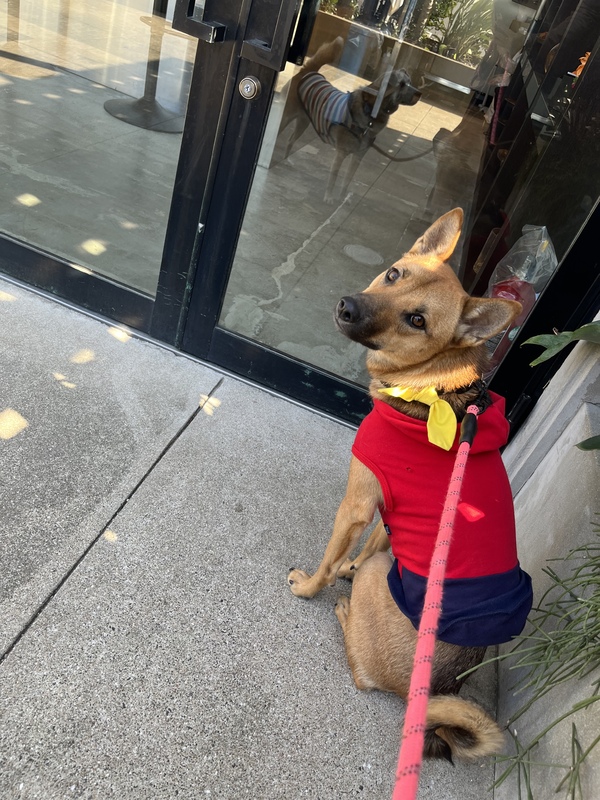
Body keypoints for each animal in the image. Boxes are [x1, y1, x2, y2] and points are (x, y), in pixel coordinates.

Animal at [279, 37, 421, 203]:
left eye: (410, 81)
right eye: (402, 85)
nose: (420, 93)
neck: (370, 116)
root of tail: (308, 71)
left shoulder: (357, 158)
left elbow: (347, 180)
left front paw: (342, 198)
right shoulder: (340, 154)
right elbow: (333, 178)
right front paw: (329, 197)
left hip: (303, 122)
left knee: (290, 140)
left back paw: (285, 160)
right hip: (287, 116)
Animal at [288, 208, 533, 761]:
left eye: (417, 320)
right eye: (394, 274)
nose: (347, 306)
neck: (432, 387)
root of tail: (435, 693)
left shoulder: (356, 504)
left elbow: (328, 562)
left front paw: (311, 587)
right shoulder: (385, 504)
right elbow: (370, 543)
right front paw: (348, 568)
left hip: (383, 588)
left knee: (363, 676)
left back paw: (345, 613)